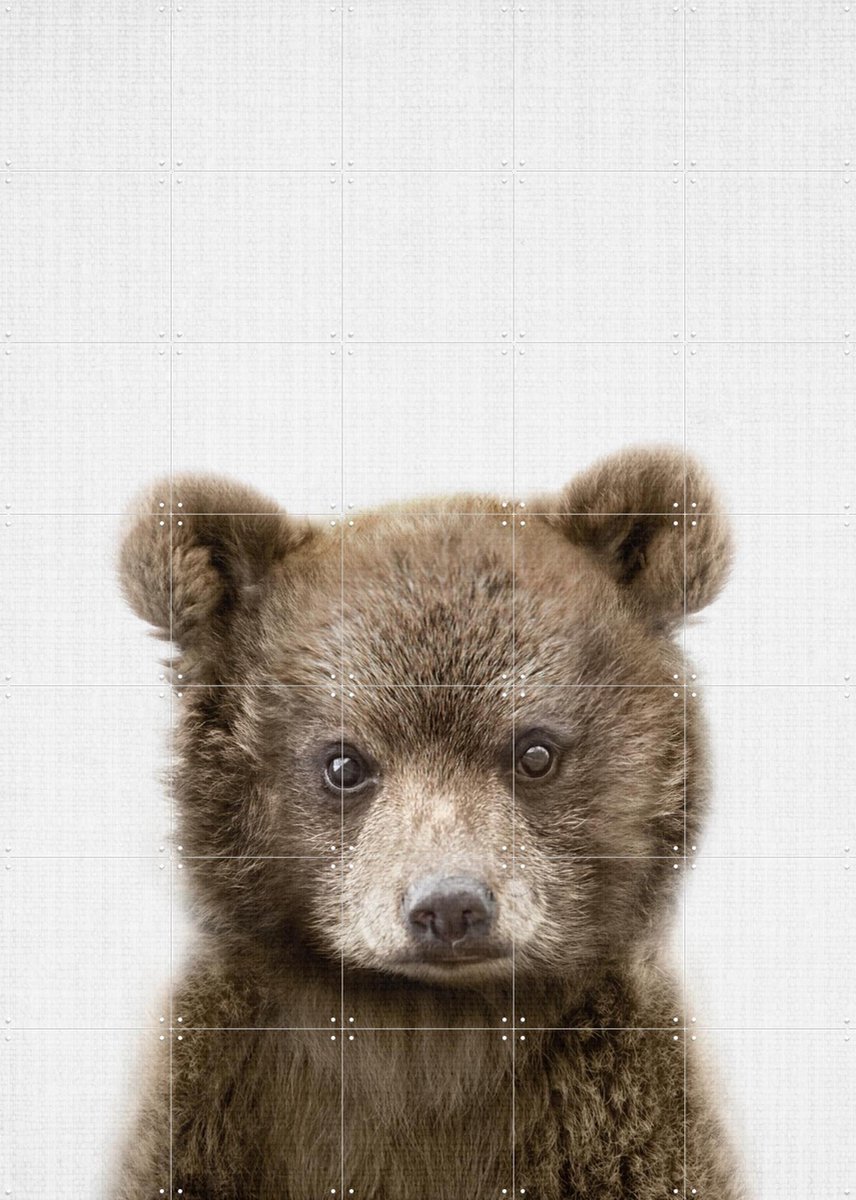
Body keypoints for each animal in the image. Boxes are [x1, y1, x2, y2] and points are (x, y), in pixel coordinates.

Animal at [114, 445, 745, 1200]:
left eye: (535, 751)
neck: (425, 1030)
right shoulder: (212, 1107)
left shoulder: (619, 1116)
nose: (449, 907)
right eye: (344, 762)